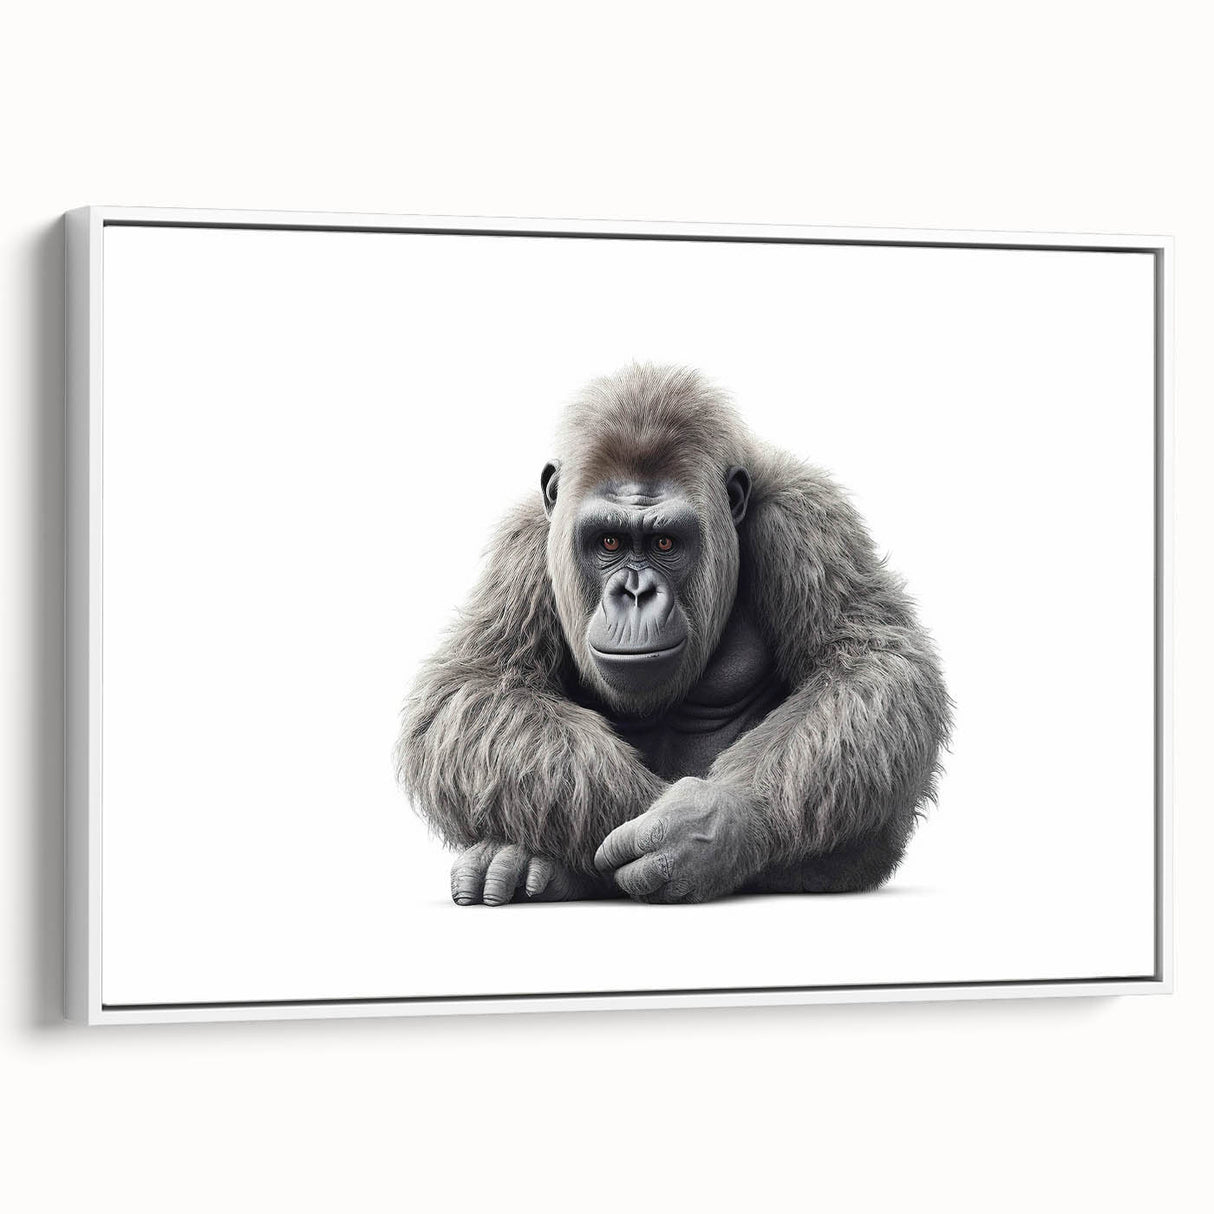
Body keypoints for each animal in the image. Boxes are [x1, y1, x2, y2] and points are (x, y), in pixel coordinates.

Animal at [395, 364, 951, 905]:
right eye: (609, 541)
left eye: (665, 542)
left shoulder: (805, 516)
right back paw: (522, 863)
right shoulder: (527, 541)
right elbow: (477, 686)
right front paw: (639, 820)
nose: (635, 592)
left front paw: (712, 825)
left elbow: (868, 662)